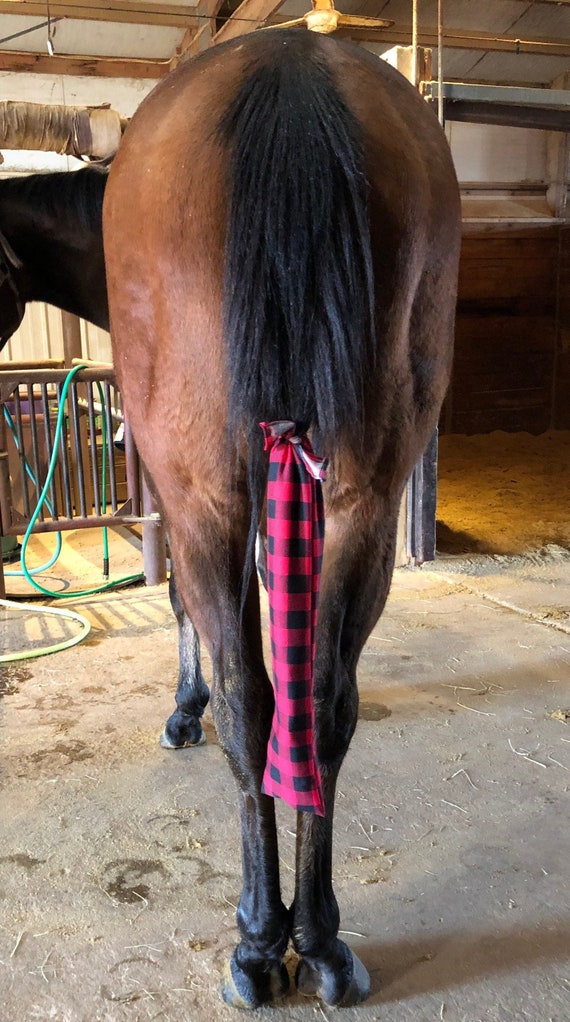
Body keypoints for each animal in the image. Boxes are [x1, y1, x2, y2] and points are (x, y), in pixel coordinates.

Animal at [104, 27, 461, 1009]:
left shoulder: (183, 502)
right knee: (321, 704)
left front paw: (180, 711)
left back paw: (262, 940)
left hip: (208, 500)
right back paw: (323, 942)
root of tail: (290, 69)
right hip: (365, 501)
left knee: (250, 703)